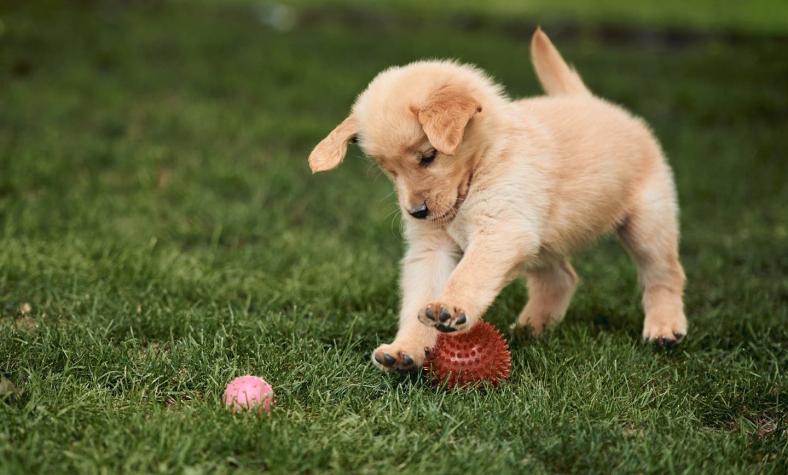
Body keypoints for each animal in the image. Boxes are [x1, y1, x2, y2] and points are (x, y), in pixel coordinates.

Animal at [306, 28, 684, 372]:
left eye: (428, 156)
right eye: (388, 171)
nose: (417, 212)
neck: (484, 161)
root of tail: (592, 101)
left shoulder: (500, 228)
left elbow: (469, 273)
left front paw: (451, 307)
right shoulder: (433, 247)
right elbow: (419, 296)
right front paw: (406, 350)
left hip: (648, 222)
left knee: (664, 274)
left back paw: (664, 328)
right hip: (542, 240)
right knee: (561, 277)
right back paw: (532, 327)